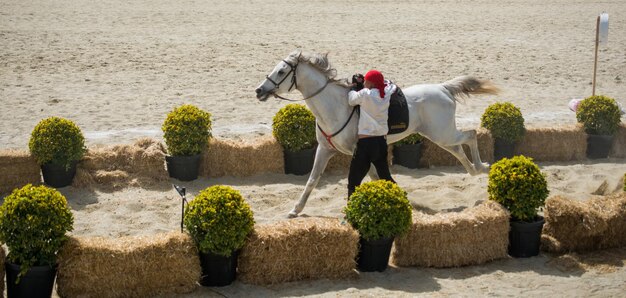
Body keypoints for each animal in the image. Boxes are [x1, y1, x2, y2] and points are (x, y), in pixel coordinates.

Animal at [254, 50, 498, 217]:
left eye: (282, 71)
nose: (259, 91)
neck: (336, 106)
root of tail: (444, 88)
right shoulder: (324, 149)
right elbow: (313, 179)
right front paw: (295, 210)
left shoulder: (358, 151)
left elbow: (370, 176)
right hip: (441, 136)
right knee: (459, 149)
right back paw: (475, 170)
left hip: (442, 134)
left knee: (471, 134)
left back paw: (482, 167)